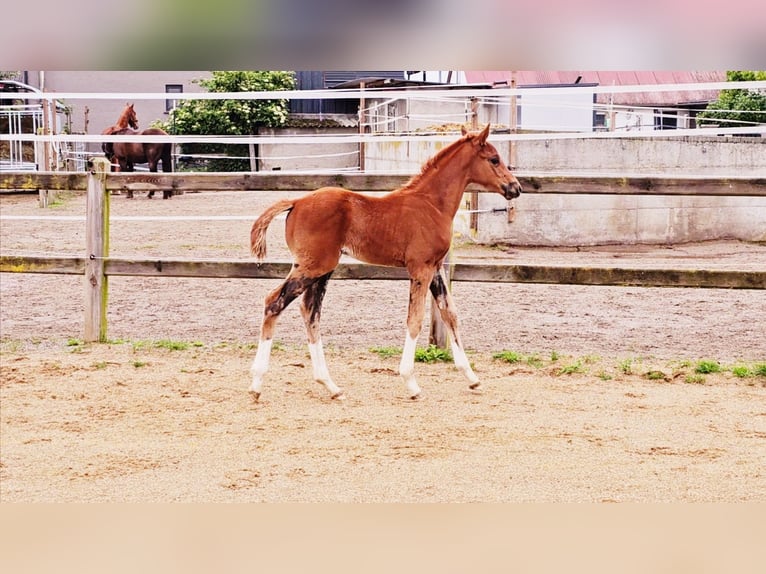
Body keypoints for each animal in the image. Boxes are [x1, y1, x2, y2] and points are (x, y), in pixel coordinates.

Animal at [248, 124, 522, 402]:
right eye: (494, 159)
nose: (515, 187)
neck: (432, 204)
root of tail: (296, 202)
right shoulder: (420, 268)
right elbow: (415, 319)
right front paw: (411, 383)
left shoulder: (434, 268)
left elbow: (450, 314)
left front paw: (472, 377)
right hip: (313, 266)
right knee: (274, 301)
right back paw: (257, 384)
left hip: (321, 269)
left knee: (310, 312)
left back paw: (331, 385)